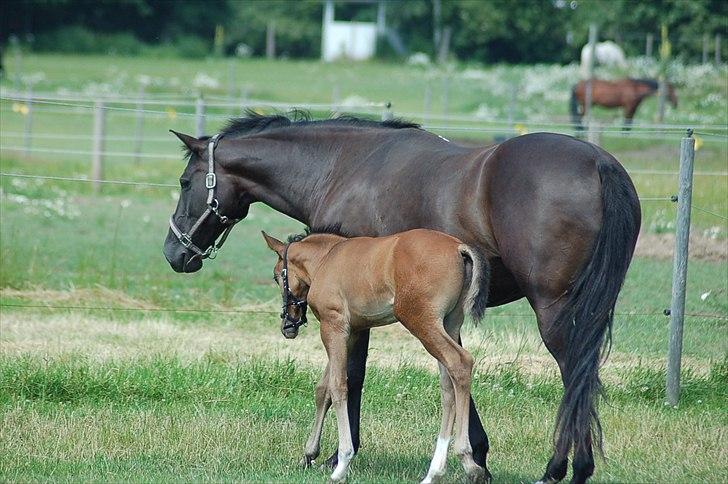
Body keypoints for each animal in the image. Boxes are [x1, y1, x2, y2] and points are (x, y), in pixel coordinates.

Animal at [262, 230, 490, 484]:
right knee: (448, 385)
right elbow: (323, 389)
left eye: (276, 277)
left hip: (421, 321)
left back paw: (468, 461)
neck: (326, 259)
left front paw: (342, 463)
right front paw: (309, 454)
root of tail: (458, 247)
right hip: (450, 323)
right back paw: (435, 472)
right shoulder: (351, 333)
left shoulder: (333, 326)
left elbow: (338, 386)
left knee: (461, 363)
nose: (288, 326)